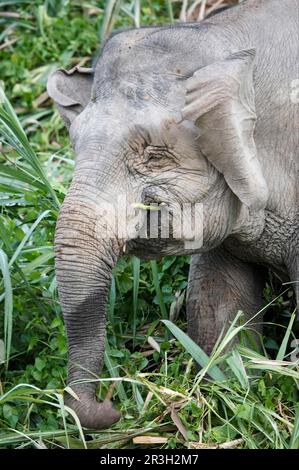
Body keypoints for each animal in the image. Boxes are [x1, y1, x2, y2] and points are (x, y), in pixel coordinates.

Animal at [47, 0, 299, 432]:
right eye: (75, 144)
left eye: (154, 155)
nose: (112, 406)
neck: (222, 39)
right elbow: (216, 309)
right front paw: (237, 390)